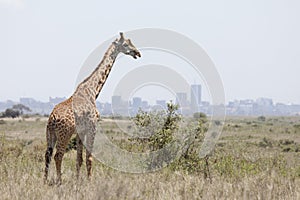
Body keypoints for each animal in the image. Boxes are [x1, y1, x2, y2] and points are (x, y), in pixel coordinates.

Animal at [44, 32, 141, 184]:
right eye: (126, 44)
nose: (137, 52)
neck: (93, 90)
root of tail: (52, 119)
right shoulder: (92, 126)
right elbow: (89, 158)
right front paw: (90, 182)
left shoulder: (80, 132)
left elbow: (79, 159)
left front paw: (78, 181)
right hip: (64, 134)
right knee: (58, 155)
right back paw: (59, 181)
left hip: (50, 134)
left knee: (47, 155)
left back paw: (44, 181)